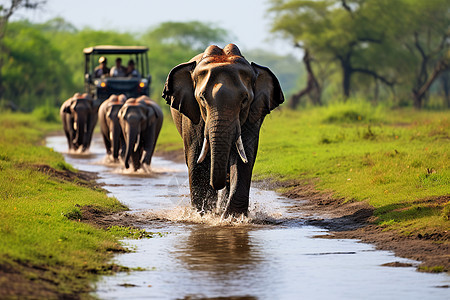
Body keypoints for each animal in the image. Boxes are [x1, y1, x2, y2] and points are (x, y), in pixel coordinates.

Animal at [162, 43, 284, 216]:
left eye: (245, 99)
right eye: (202, 98)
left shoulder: (252, 114)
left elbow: (243, 158)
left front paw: (233, 217)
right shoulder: (192, 116)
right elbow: (197, 160)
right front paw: (202, 215)